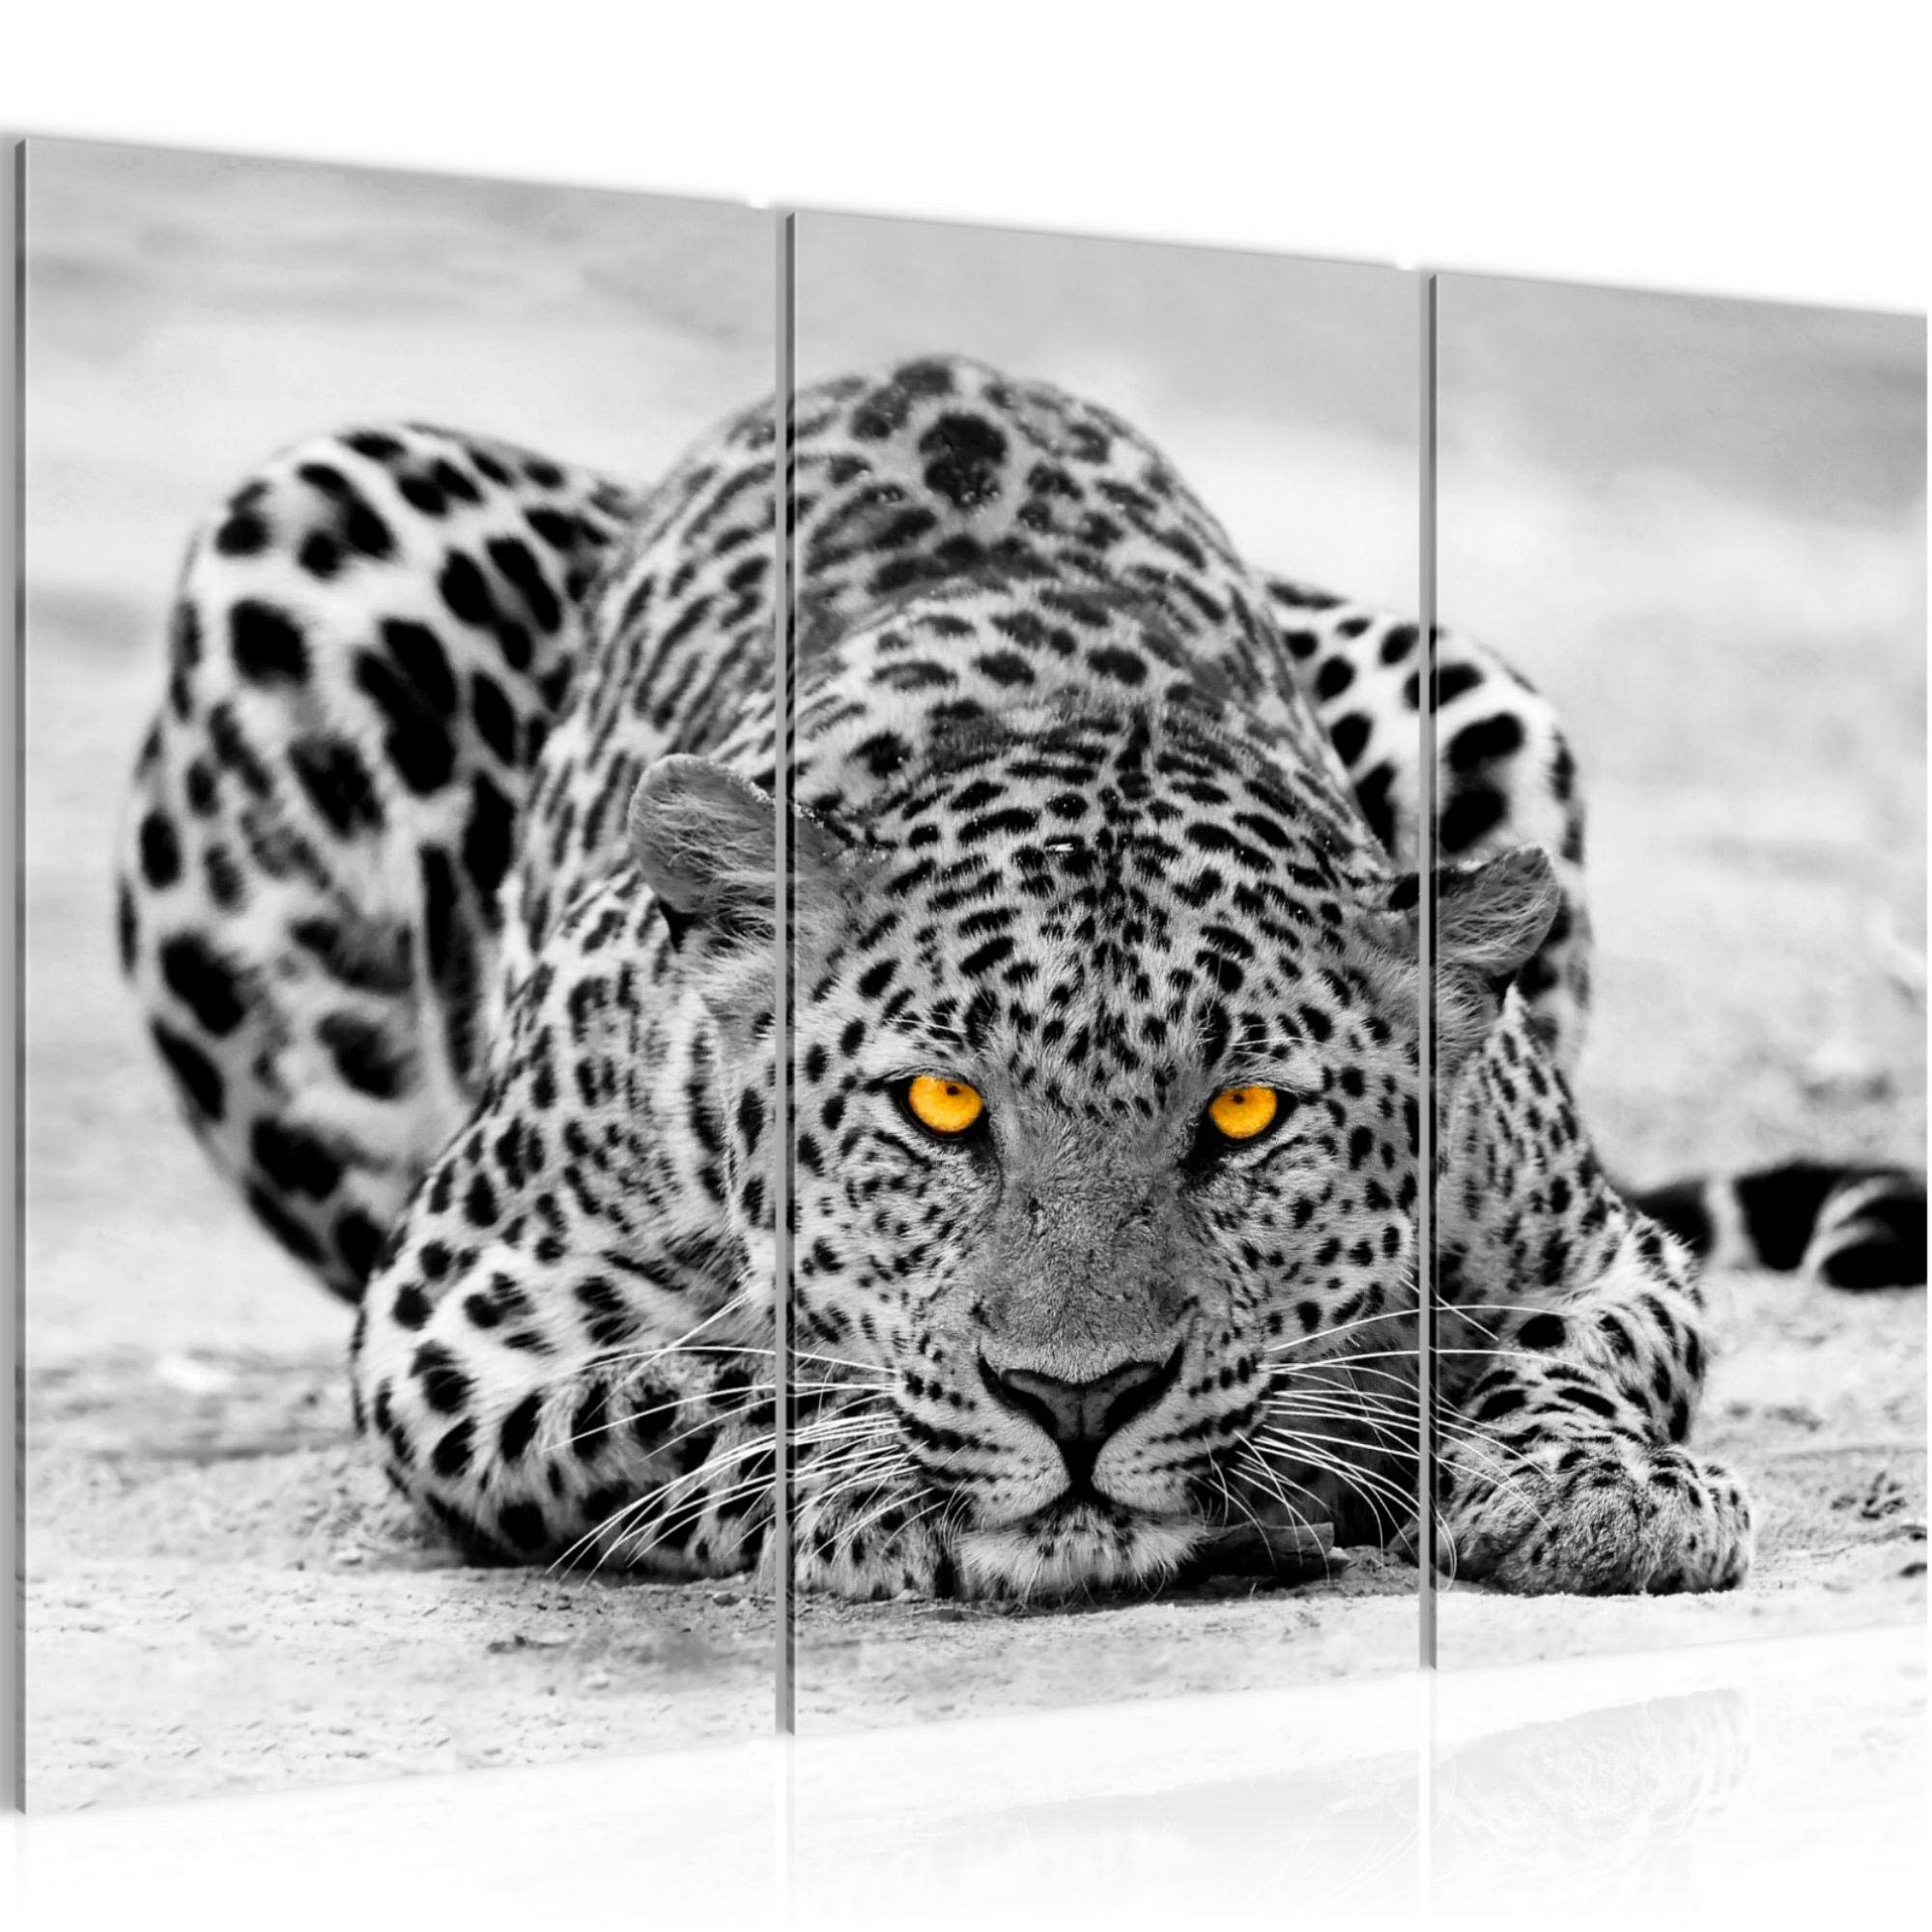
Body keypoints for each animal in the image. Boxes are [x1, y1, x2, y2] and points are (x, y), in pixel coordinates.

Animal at [118, 353, 1926, 1603]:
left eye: (1246, 1117)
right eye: (938, 1106)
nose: (1081, 1402)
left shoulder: (1599, 1247)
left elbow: (1572, 1353)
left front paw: (1591, 1491)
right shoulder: (450, 1321)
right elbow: (672, 1389)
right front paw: (856, 1470)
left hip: (1466, 684)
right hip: (312, 532)